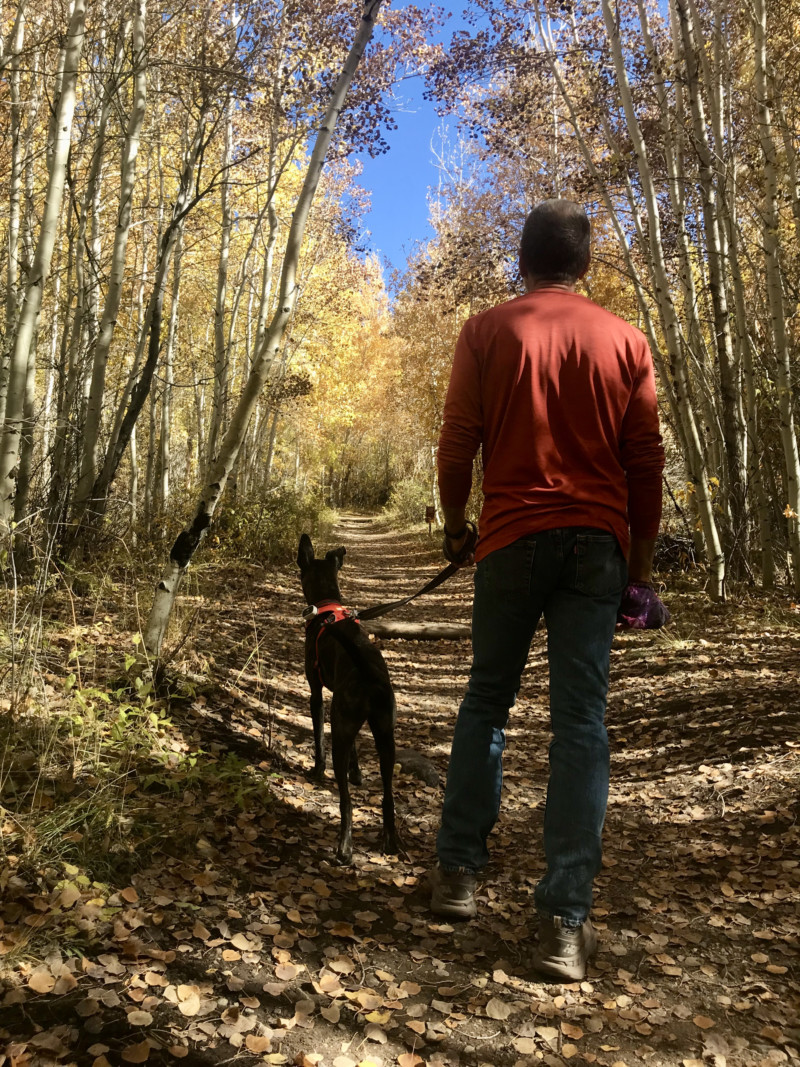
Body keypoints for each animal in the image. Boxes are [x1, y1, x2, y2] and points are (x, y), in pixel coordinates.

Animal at [296, 533, 401, 866]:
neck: (327, 609)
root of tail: (368, 675)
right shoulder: (345, 715)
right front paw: (357, 773)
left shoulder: (318, 695)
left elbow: (318, 738)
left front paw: (317, 770)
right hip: (385, 737)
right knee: (388, 796)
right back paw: (391, 841)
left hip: (342, 730)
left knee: (346, 802)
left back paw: (344, 847)